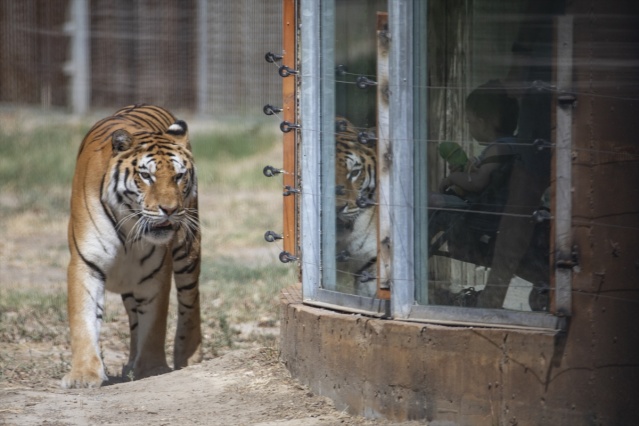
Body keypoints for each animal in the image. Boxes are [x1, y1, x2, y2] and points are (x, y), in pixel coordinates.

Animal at [62, 104, 202, 390]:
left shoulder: (156, 272)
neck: (130, 226)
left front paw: (152, 369)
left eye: (178, 176)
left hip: (188, 249)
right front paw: (83, 375)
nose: (170, 209)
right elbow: (83, 320)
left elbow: (154, 325)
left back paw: (190, 358)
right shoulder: (85, 263)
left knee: (190, 302)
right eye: (146, 176)